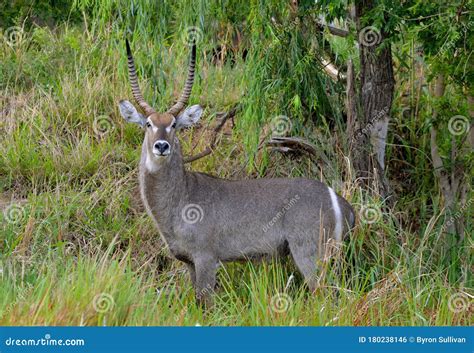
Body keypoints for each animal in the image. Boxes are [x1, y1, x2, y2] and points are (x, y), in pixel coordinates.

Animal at [119, 39, 356, 306]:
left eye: (174, 124)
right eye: (148, 123)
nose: (161, 146)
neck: (182, 196)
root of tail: (340, 201)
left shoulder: (206, 258)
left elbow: (205, 303)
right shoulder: (189, 262)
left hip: (311, 253)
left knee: (325, 296)